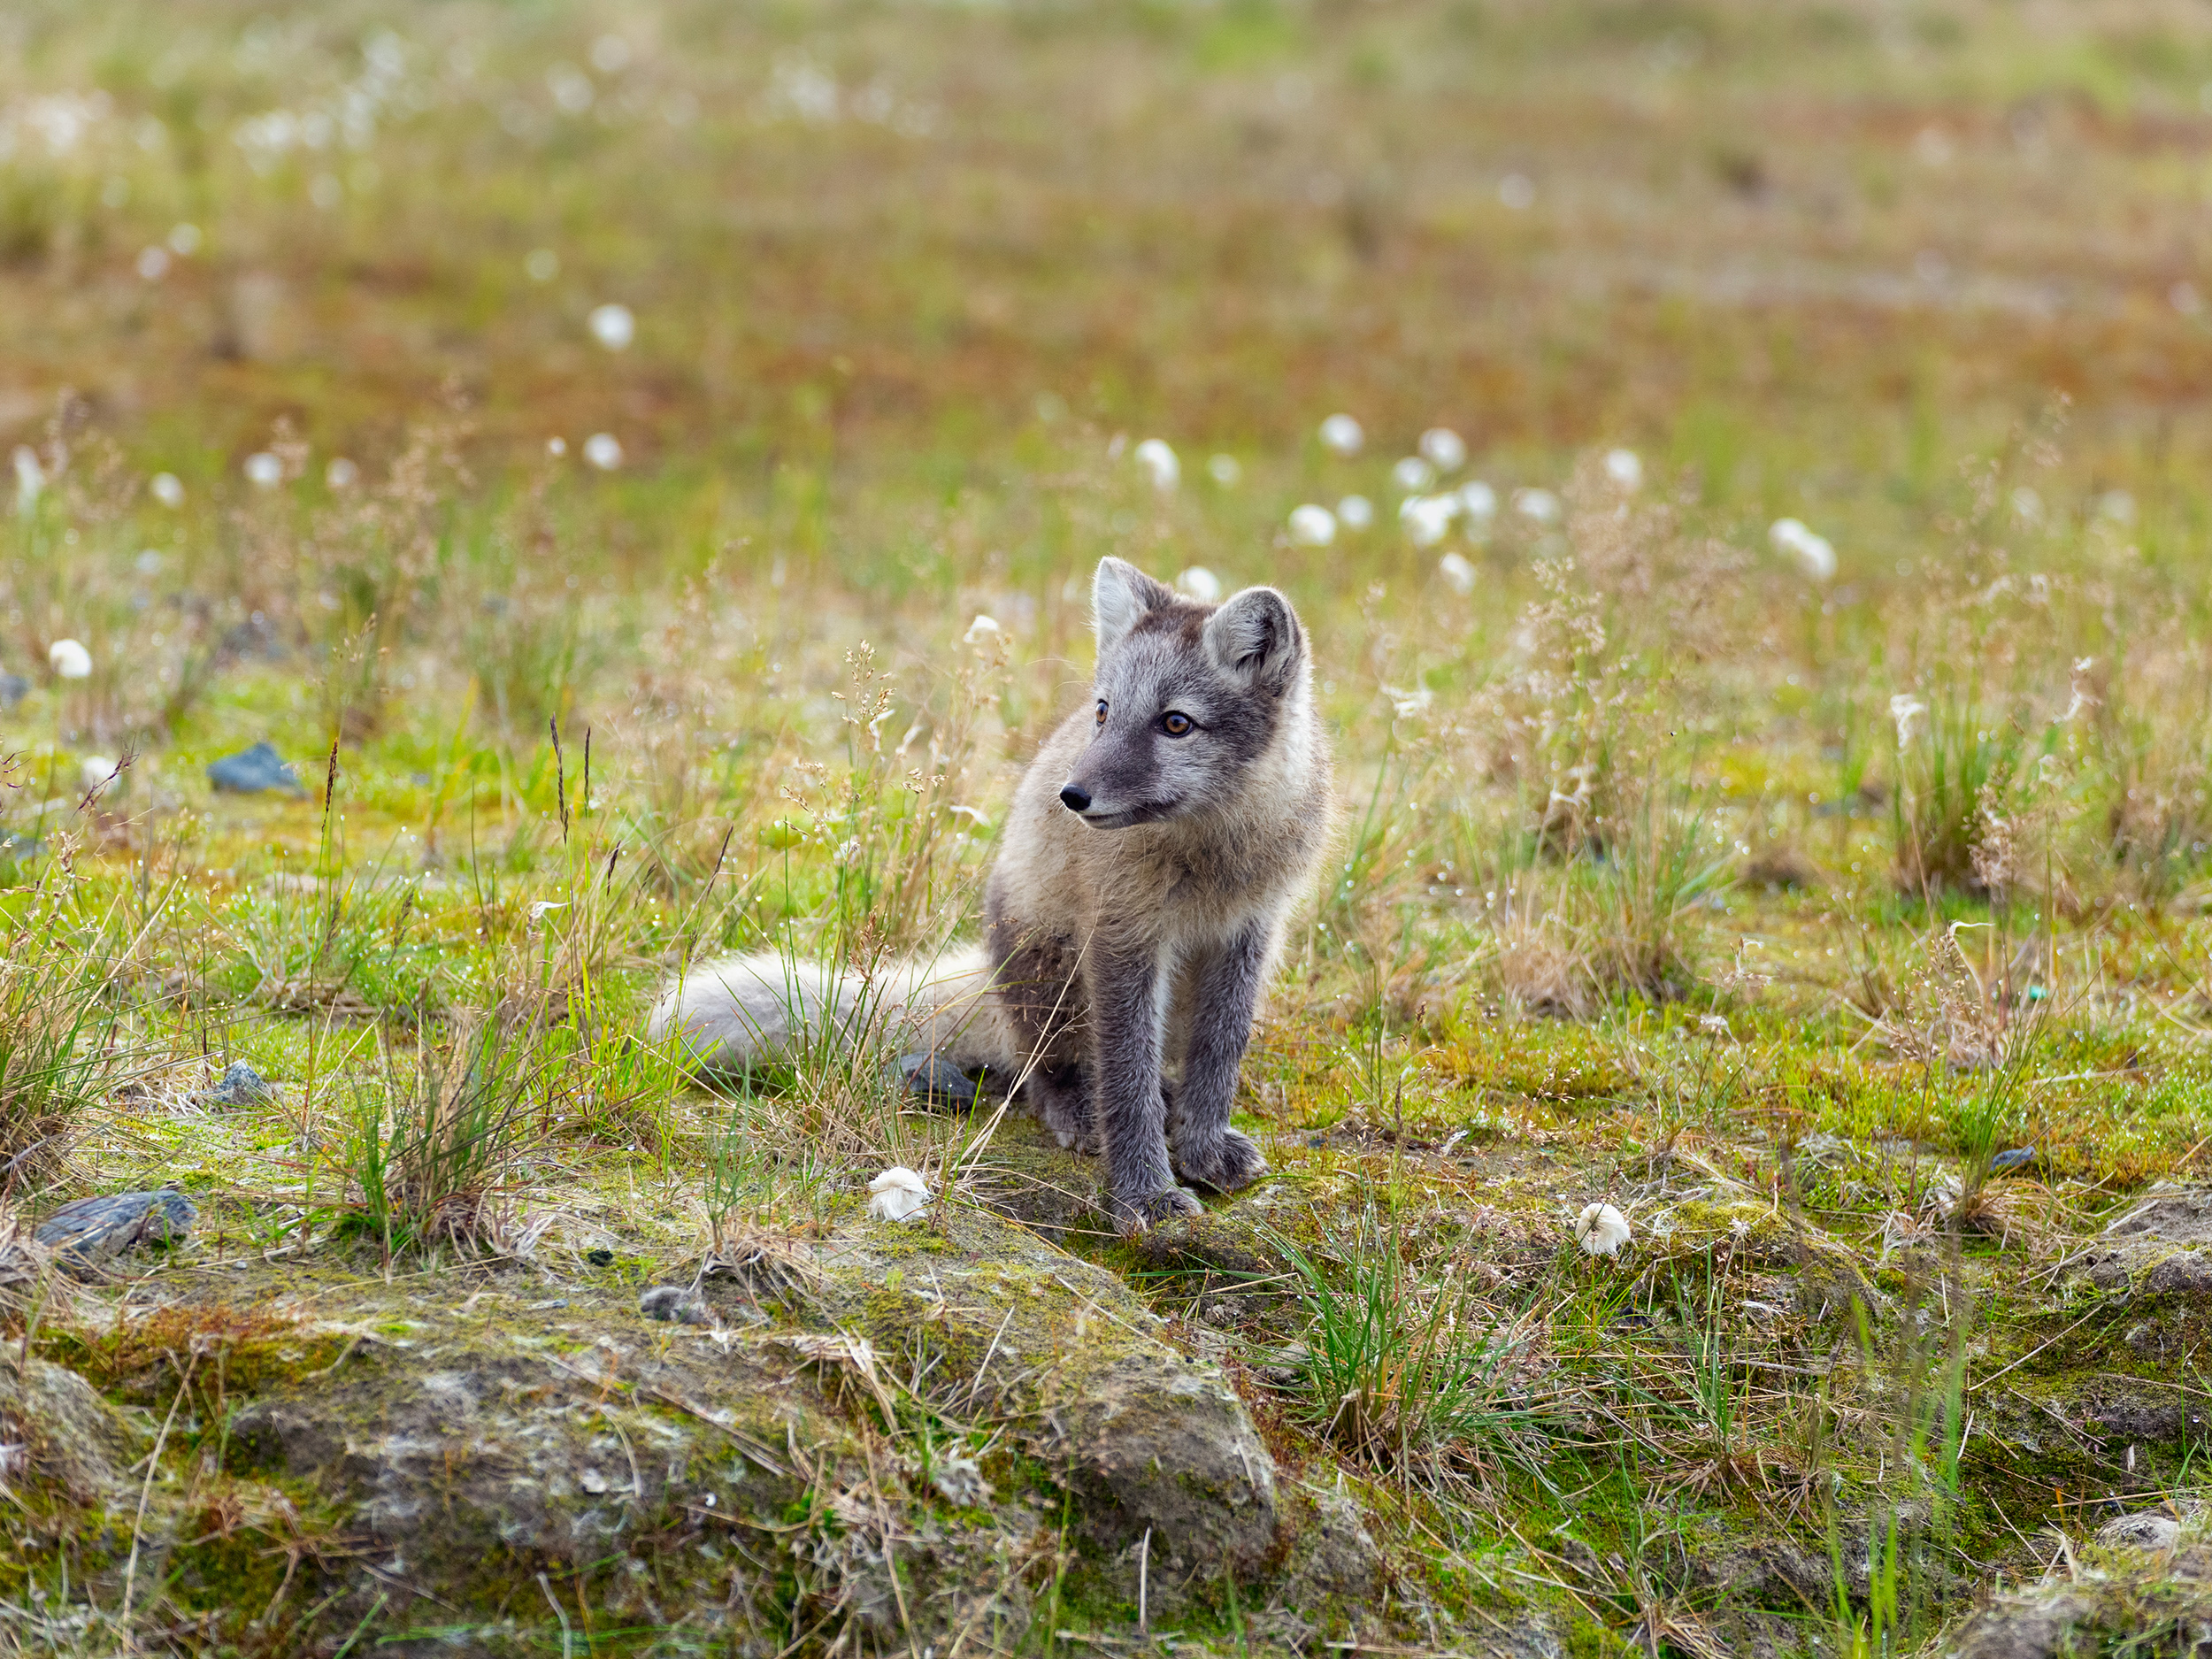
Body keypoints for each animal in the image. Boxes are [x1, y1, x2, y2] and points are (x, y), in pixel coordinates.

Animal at [641, 559, 1327, 1239]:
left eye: (1176, 722)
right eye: (1103, 711)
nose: (1072, 796)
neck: (1212, 856)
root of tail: (991, 984)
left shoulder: (1248, 932)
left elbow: (1219, 1053)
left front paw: (1204, 1148)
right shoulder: (1121, 935)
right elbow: (1126, 1078)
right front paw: (1146, 1196)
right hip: (1049, 967)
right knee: (1046, 1072)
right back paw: (1079, 1109)